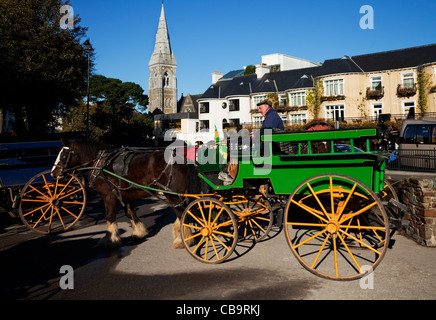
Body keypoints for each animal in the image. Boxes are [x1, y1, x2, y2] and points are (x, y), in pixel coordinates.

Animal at [50, 139, 197, 248]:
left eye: (63, 155)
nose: (53, 173)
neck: (99, 164)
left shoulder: (108, 196)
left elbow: (110, 216)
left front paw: (110, 240)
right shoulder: (123, 195)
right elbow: (130, 213)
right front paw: (138, 233)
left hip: (172, 195)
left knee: (182, 214)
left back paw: (182, 240)